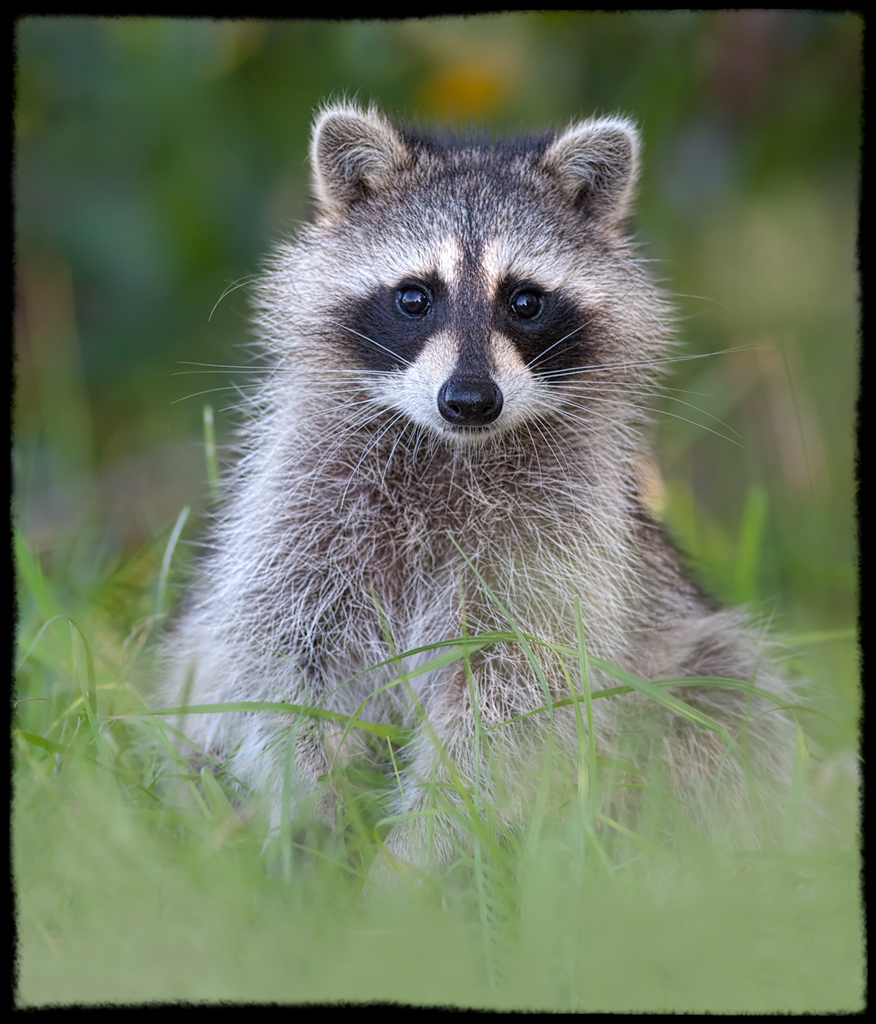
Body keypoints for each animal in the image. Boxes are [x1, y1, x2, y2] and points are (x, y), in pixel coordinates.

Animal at [160, 99, 799, 876]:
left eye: (524, 301)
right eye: (414, 297)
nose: (469, 401)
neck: (452, 450)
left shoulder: (561, 553)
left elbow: (513, 702)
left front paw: (416, 856)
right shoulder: (302, 509)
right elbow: (276, 657)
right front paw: (306, 802)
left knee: (726, 699)